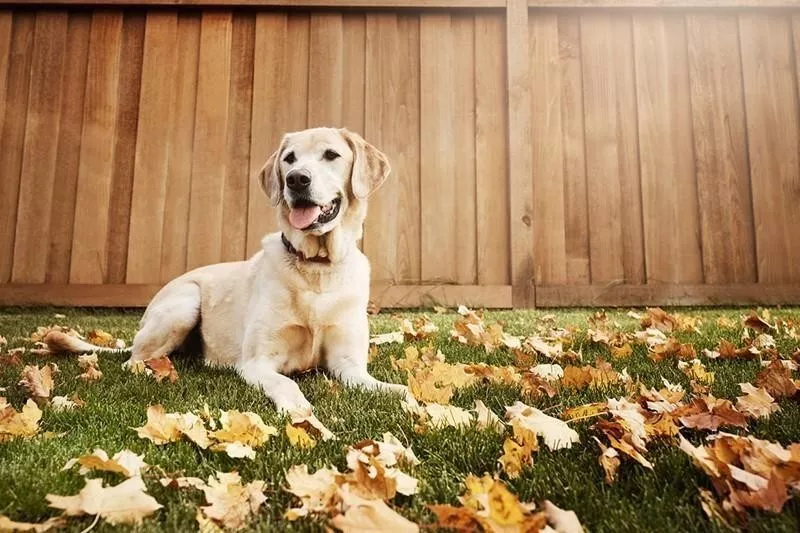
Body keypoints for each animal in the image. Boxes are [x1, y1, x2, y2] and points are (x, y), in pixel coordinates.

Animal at [49, 128, 410, 412]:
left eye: (331, 155)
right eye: (289, 159)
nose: (296, 179)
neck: (316, 266)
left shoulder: (348, 364)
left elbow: (392, 388)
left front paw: (411, 402)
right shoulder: (258, 362)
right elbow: (288, 384)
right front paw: (299, 411)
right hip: (185, 303)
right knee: (132, 360)